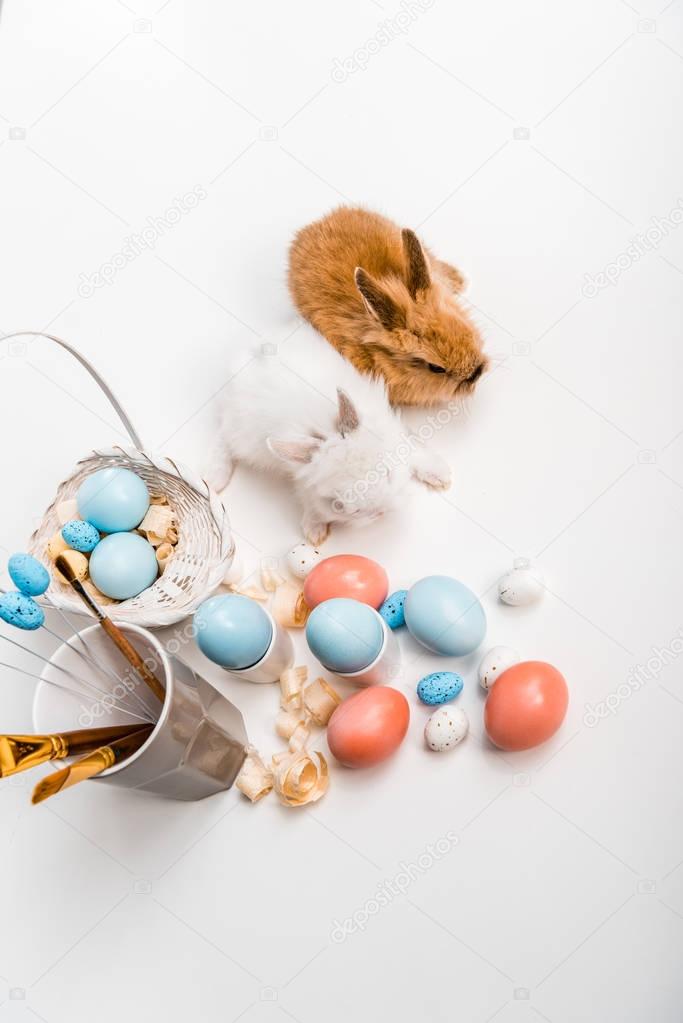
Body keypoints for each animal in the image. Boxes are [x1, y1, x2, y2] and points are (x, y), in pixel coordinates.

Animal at [210, 347, 449, 548]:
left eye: (386, 472)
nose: (380, 513)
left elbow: (415, 451)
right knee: (221, 436)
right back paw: (214, 479)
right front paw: (315, 532)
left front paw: (441, 477)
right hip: (239, 434)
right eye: (339, 503)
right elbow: (309, 501)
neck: (323, 430)